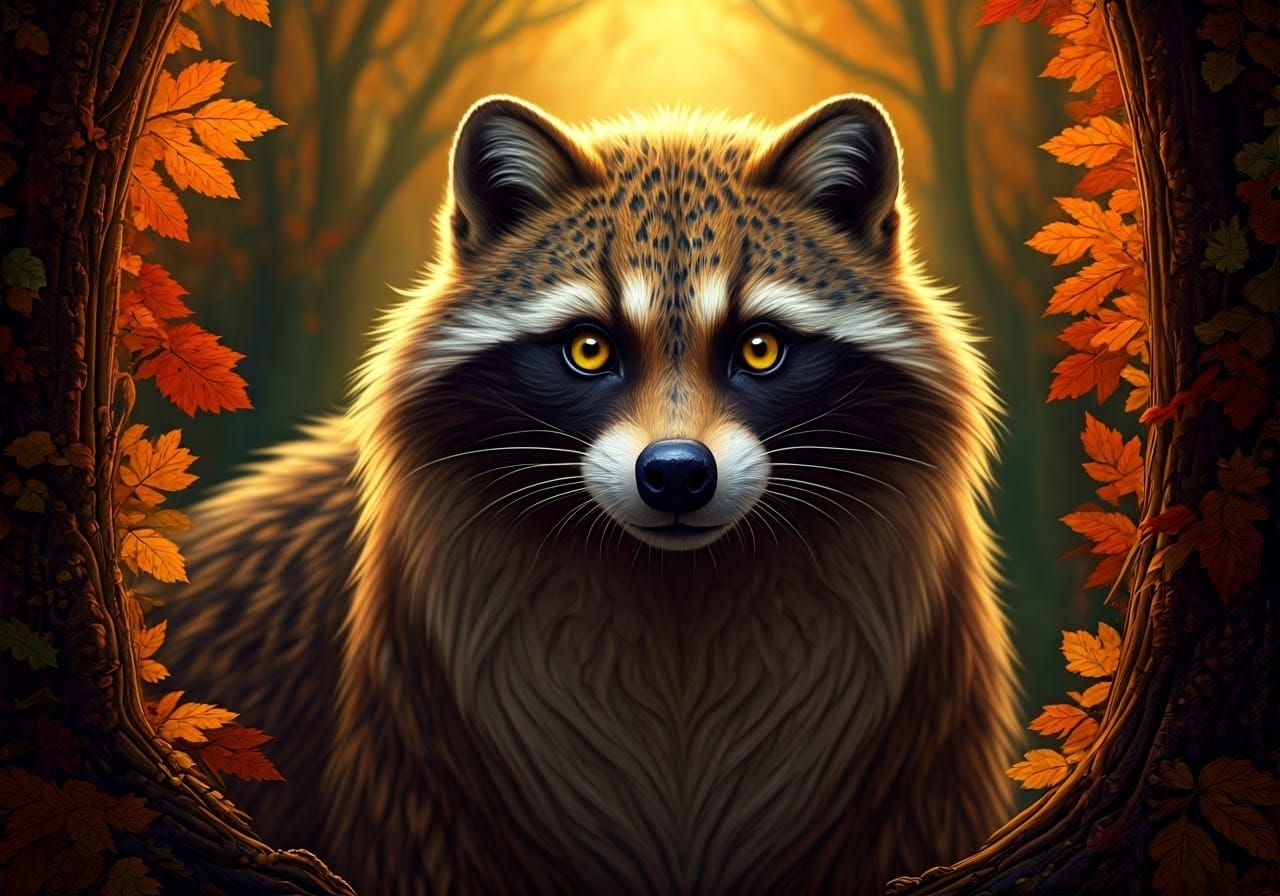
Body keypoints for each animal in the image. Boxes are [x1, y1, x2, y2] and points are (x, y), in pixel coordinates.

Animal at [163, 94, 1018, 895]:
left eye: (760, 348)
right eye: (588, 349)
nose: (676, 473)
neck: (678, 593)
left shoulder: (916, 757)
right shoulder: (423, 767)